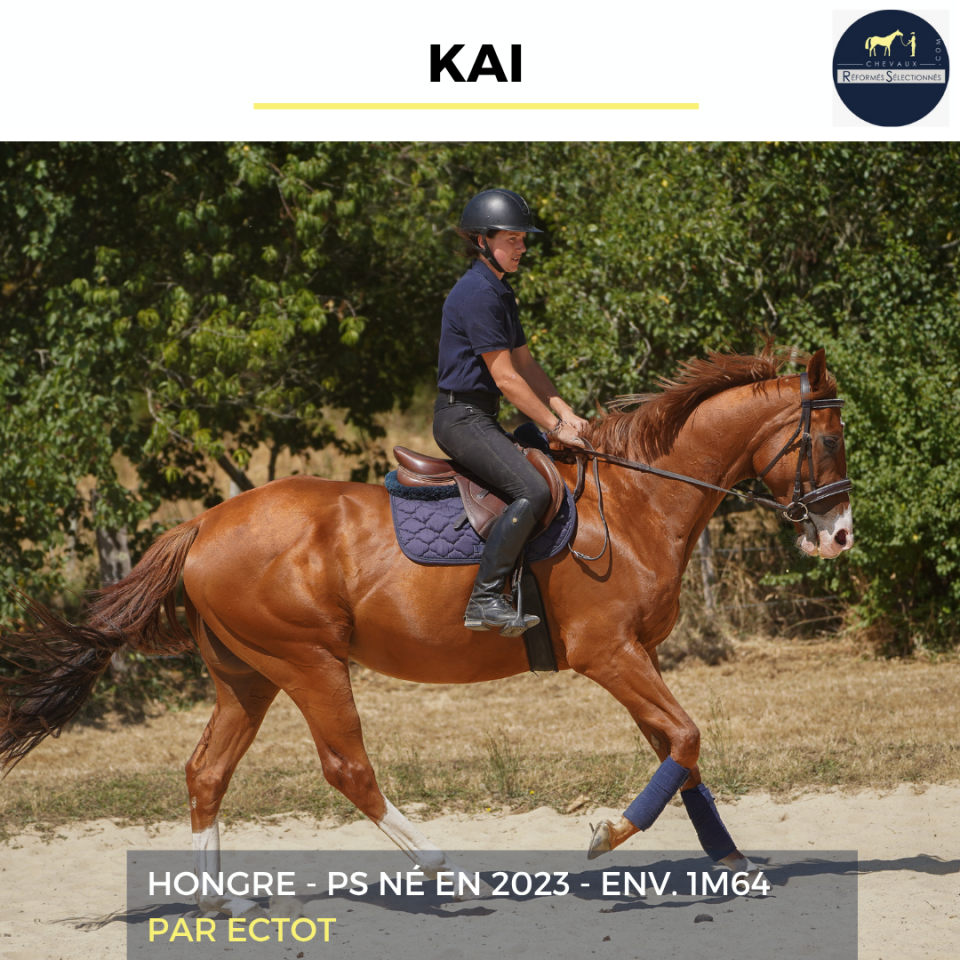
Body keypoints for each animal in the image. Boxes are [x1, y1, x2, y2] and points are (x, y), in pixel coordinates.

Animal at [0, 344, 853, 917]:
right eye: (827, 441)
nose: (840, 536)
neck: (637, 500)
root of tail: (204, 522)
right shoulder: (609, 653)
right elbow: (684, 738)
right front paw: (609, 834)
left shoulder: (636, 655)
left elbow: (679, 750)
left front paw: (729, 858)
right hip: (308, 663)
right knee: (348, 769)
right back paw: (448, 870)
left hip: (248, 676)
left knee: (208, 771)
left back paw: (222, 902)